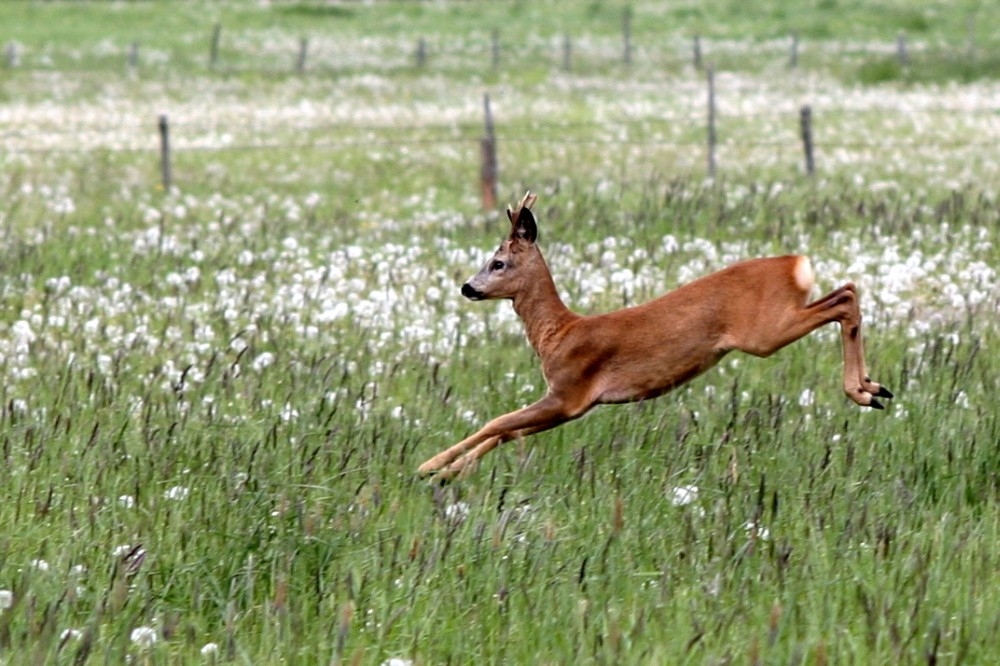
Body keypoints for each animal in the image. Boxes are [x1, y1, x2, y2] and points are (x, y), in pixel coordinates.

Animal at [414, 192, 892, 478]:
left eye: (498, 262)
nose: (467, 287)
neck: (560, 333)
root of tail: (796, 263)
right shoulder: (568, 405)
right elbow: (505, 433)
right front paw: (450, 473)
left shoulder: (569, 391)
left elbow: (495, 422)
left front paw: (429, 466)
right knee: (849, 290)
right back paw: (874, 388)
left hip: (765, 331)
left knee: (843, 300)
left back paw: (863, 390)